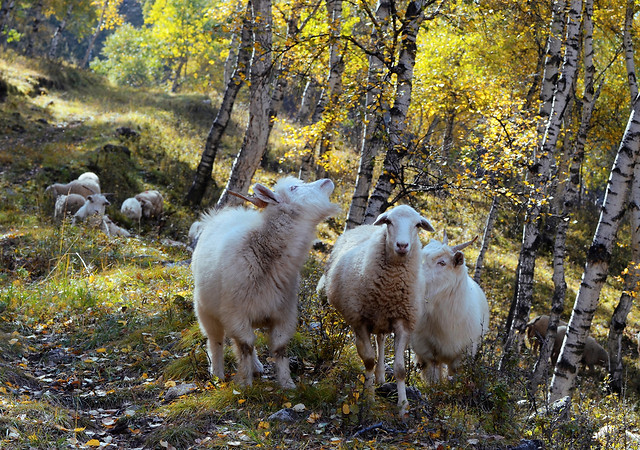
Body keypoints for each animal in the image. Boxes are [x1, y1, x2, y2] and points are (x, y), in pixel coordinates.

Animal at [191, 178, 338, 388]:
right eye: (294, 187)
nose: (327, 181)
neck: (262, 252)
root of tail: (217, 216)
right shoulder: (236, 313)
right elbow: (245, 345)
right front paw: (245, 384)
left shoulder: (284, 313)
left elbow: (279, 348)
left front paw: (286, 383)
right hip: (206, 310)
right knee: (216, 340)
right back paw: (217, 373)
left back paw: (256, 366)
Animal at [322, 206, 432, 416]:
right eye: (388, 222)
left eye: (417, 224)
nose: (402, 245)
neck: (389, 287)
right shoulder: (360, 321)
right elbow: (368, 360)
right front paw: (369, 397)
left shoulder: (403, 321)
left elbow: (400, 369)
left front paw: (403, 406)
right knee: (375, 344)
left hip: (382, 319)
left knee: (380, 339)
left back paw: (381, 377)